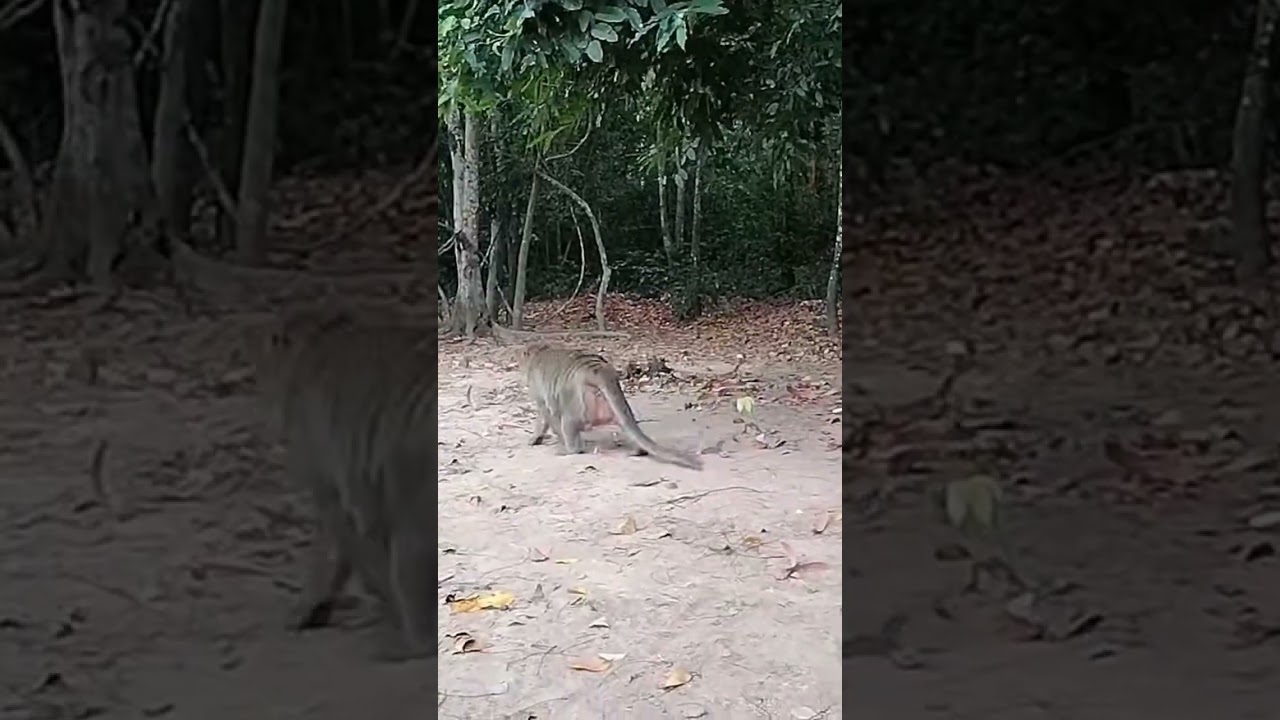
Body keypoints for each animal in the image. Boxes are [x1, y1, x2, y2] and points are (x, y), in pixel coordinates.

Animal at [520, 342, 703, 470]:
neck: (539, 353)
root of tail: (599, 370)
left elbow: (544, 412)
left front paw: (540, 437)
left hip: (580, 402)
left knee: (568, 421)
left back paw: (571, 449)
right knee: (625, 423)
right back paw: (639, 449)